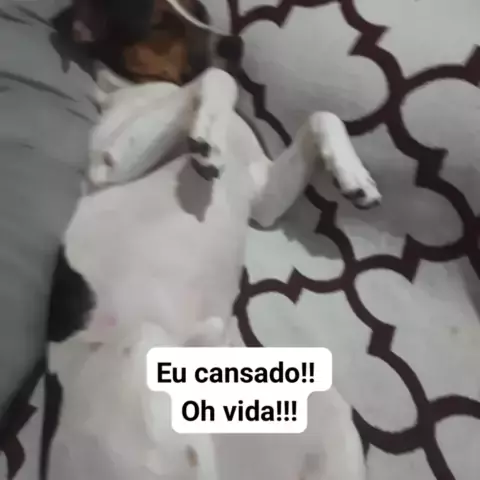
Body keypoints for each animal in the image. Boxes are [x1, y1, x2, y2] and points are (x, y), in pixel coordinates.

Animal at [45, 2, 379, 478]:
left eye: (199, 8)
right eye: (159, 23)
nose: (236, 44)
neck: (152, 89)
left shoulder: (263, 198)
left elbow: (321, 116)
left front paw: (354, 177)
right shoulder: (109, 160)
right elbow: (217, 79)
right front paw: (207, 139)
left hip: (324, 412)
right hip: (143, 348)